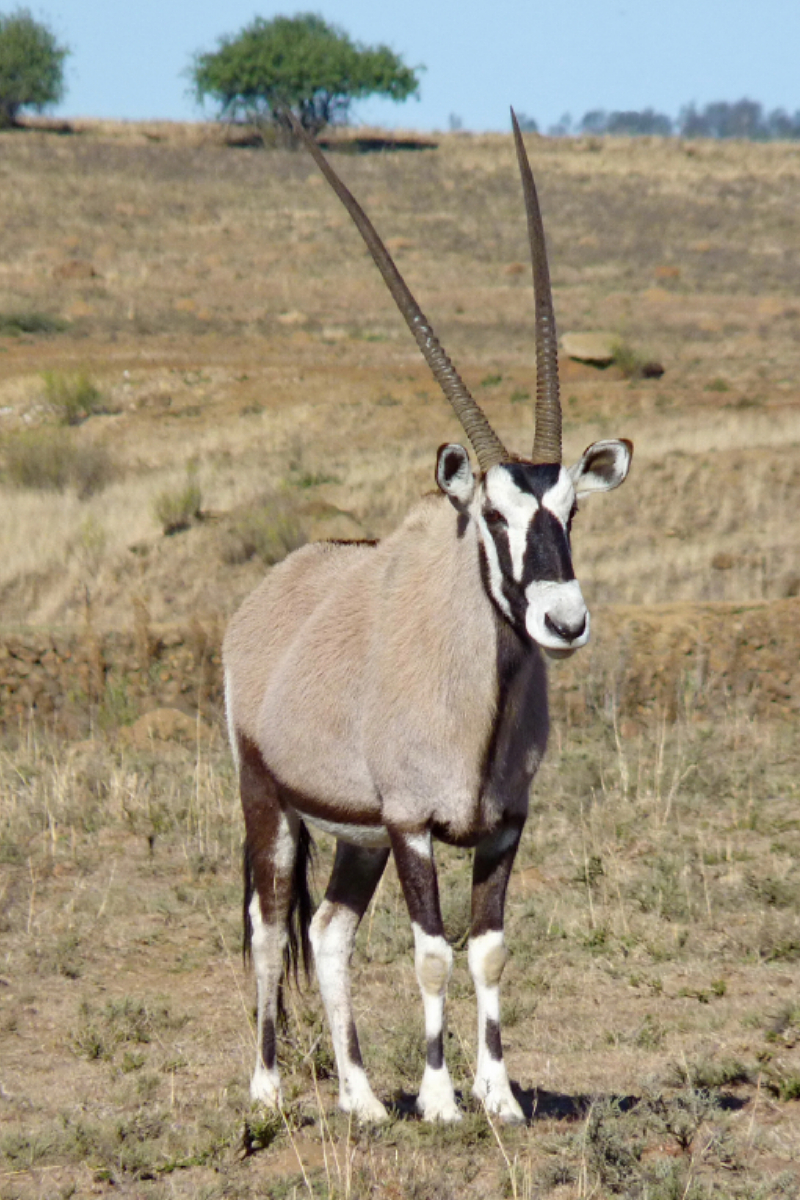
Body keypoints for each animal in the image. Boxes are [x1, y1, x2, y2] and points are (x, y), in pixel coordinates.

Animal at [224, 112, 633, 1123]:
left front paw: (500, 1096)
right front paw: (445, 1099)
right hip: (268, 803)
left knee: (328, 931)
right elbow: (433, 954)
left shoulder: (504, 823)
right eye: (493, 515)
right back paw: (268, 1091)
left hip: (352, 834)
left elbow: (487, 950)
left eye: (570, 511)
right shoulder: (413, 826)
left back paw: (364, 1100)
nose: (563, 622)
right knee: (268, 927)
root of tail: (270, 595)